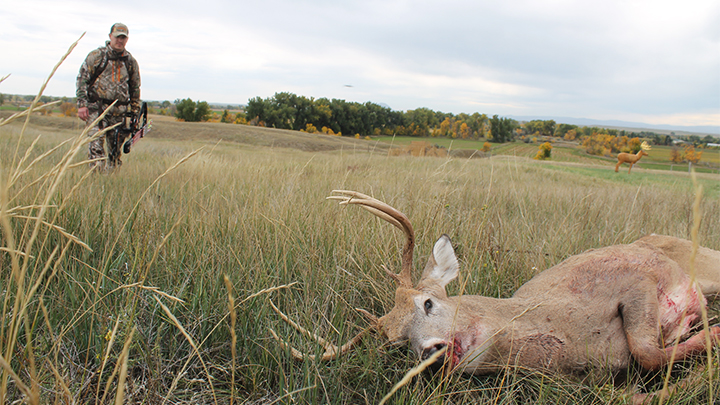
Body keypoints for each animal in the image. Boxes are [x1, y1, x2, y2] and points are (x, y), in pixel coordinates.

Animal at [272, 190, 720, 394]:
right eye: (397, 344)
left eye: (427, 302)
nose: (431, 355)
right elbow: (648, 358)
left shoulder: (633, 279)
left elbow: (646, 352)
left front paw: (711, 335)